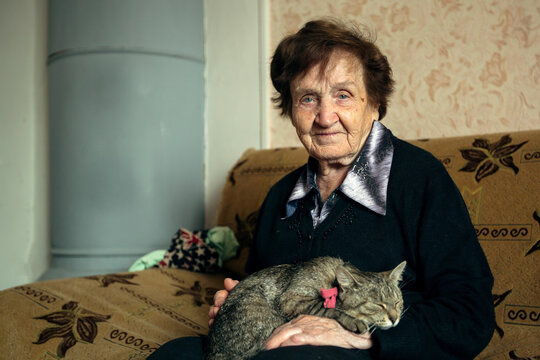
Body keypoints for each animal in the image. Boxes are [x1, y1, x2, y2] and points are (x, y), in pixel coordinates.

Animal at [202, 256, 404, 360]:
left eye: (397, 302)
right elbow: (328, 308)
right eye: (378, 305)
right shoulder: (292, 300)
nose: (395, 319)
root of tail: (213, 351)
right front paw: (353, 321)